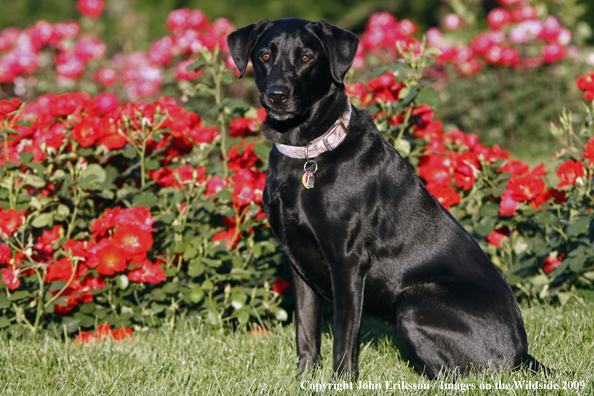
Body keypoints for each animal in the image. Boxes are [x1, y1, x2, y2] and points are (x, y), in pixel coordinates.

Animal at [225, 17, 544, 378]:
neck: (307, 153)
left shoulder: (346, 261)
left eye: (306, 57)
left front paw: (340, 381)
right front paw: (304, 378)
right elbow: (305, 330)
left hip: (413, 304)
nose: (277, 95)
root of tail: (522, 355)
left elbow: (344, 338)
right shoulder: (297, 258)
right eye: (265, 56)